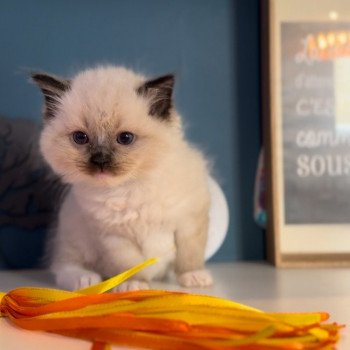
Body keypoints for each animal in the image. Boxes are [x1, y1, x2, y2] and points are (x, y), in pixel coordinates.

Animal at [32, 65, 213, 290]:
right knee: (64, 266)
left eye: (125, 138)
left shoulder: (189, 221)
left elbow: (190, 256)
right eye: (80, 138)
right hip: (74, 237)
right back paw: (87, 280)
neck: (130, 188)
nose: (100, 160)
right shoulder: (114, 238)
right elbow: (131, 265)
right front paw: (134, 285)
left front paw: (193, 278)